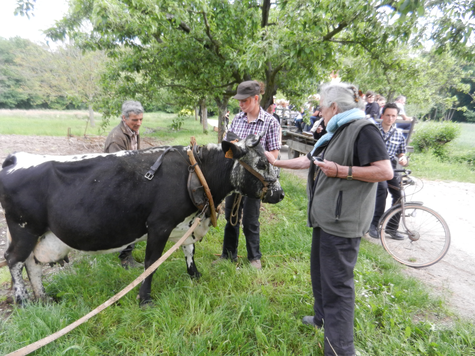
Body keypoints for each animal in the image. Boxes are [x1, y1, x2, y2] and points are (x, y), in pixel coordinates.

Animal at [0, 135, 284, 304]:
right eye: (260, 163)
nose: (279, 193)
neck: (195, 171)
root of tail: (17, 158)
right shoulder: (159, 224)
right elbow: (151, 262)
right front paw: (144, 298)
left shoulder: (186, 222)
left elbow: (188, 248)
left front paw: (194, 275)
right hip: (24, 228)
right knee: (14, 260)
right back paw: (24, 301)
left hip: (37, 233)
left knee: (31, 263)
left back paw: (43, 298)